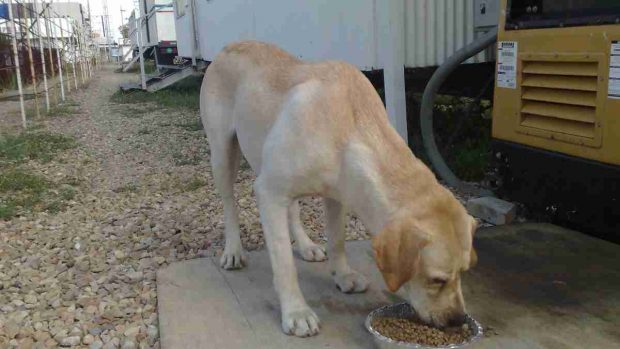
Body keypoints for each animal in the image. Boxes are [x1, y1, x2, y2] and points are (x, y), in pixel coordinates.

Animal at [201, 41, 478, 338]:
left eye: (464, 271)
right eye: (437, 280)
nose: (458, 319)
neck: (349, 126)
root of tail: (230, 45)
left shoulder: (338, 195)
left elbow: (337, 239)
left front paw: (342, 275)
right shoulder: (269, 191)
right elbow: (284, 263)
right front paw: (296, 311)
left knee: (293, 210)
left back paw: (307, 246)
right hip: (223, 155)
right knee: (229, 204)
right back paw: (233, 250)